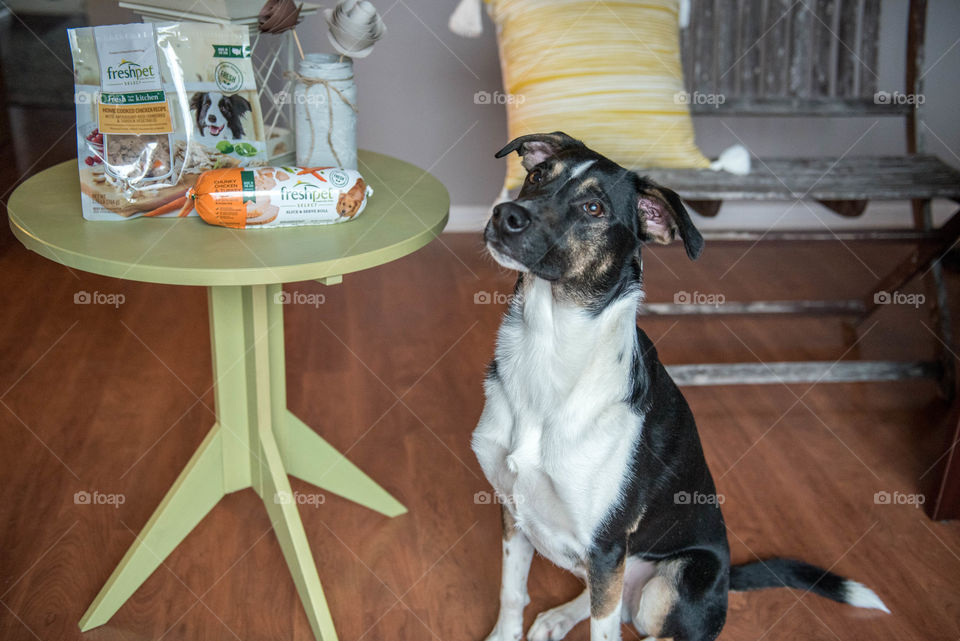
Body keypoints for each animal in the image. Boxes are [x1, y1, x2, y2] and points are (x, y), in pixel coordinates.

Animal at [476, 131, 888, 640]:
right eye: (536, 177)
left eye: (593, 208)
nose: (505, 215)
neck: (547, 348)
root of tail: (727, 577)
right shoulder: (514, 513)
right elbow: (512, 593)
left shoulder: (606, 544)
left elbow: (601, 628)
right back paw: (558, 617)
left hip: (674, 578)